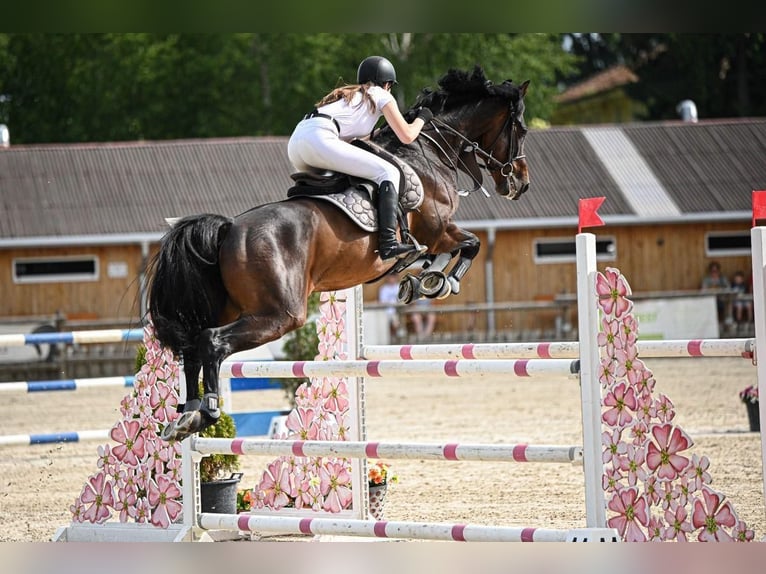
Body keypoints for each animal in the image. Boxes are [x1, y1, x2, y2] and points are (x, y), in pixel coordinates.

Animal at [150, 66, 536, 440]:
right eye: (521, 128)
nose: (520, 184)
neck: (427, 153)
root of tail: (229, 228)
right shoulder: (437, 230)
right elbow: (470, 245)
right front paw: (440, 283)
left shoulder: (434, 237)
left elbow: (447, 253)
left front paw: (425, 280)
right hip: (279, 315)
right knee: (212, 342)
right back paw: (206, 412)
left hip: (229, 307)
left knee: (192, 346)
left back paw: (185, 414)